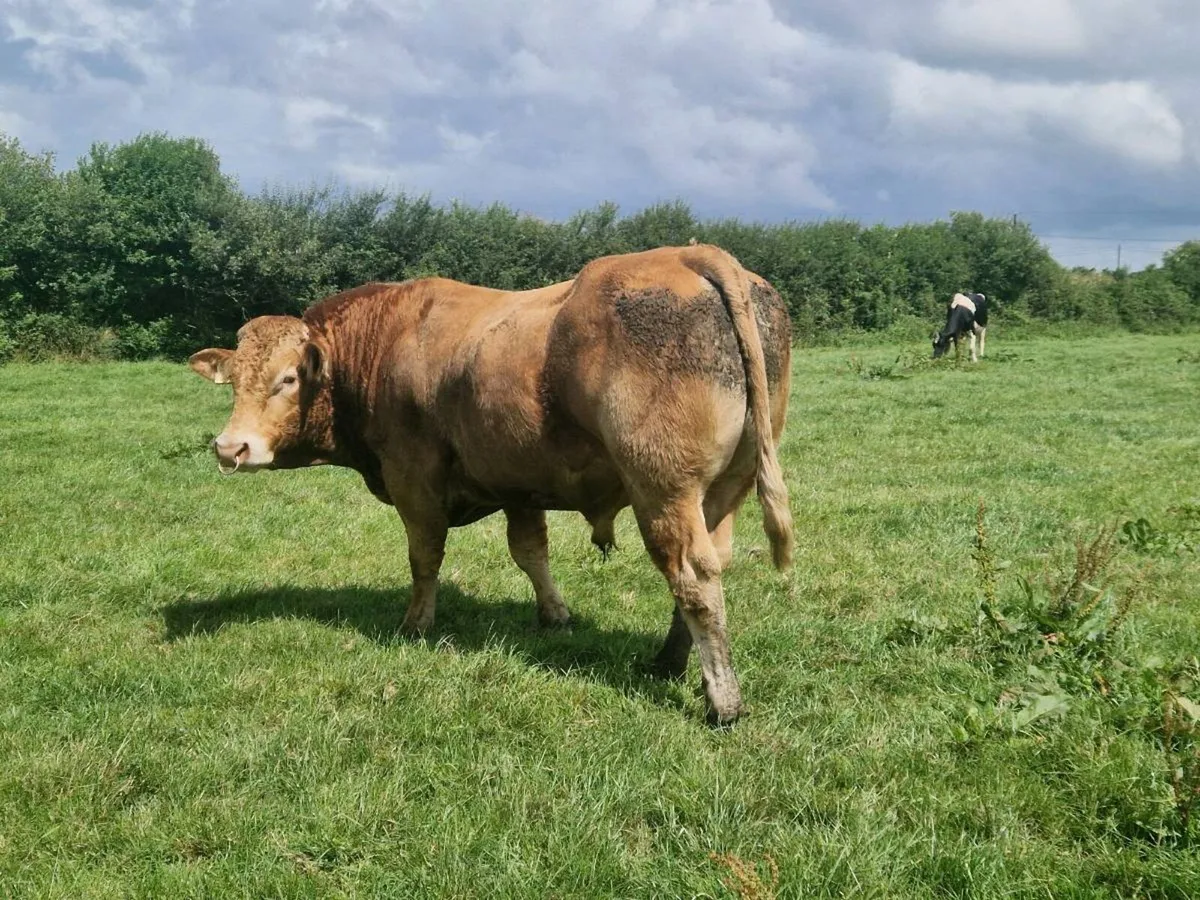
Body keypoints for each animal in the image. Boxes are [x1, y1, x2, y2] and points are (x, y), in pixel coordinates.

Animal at [187, 244, 794, 726]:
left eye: (288, 379)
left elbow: (425, 557)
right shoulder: (519, 484)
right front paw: (555, 616)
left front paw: (416, 623)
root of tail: (691, 253)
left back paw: (722, 701)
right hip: (724, 490)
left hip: (664, 489)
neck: (380, 345)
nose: (230, 448)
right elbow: (531, 553)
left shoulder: (413, 478)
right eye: (233, 380)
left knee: (692, 577)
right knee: (713, 564)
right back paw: (669, 662)